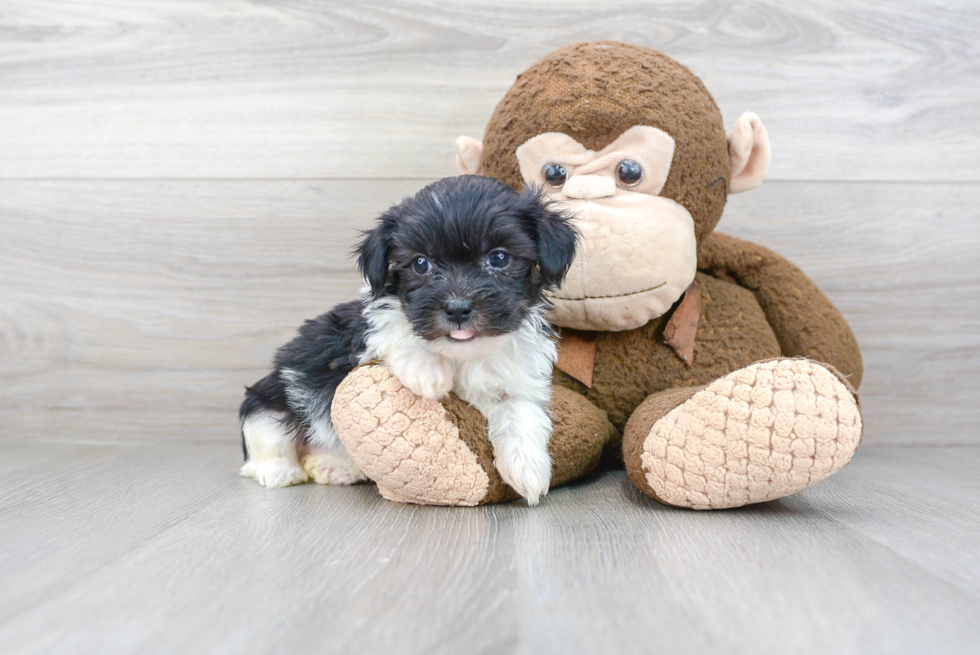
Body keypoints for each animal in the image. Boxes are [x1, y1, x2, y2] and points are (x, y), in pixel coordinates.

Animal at [237, 176, 576, 508]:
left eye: (499, 258)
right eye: (420, 264)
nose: (457, 308)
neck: (461, 353)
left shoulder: (517, 376)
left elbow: (520, 411)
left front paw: (528, 468)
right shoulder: (362, 334)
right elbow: (397, 328)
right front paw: (429, 373)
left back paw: (334, 468)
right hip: (270, 399)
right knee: (265, 434)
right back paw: (280, 470)